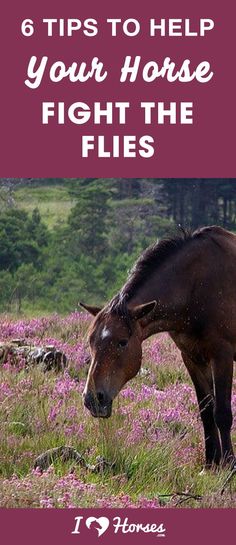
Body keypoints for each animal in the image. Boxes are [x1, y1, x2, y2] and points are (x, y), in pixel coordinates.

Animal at [80, 226, 235, 468]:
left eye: (122, 342)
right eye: (91, 341)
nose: (93, 399)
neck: (196, 288)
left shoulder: (222, 356)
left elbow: (222, 414)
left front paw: (229, 465)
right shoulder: (192, 357)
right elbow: (206, 411)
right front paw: (211, 464)